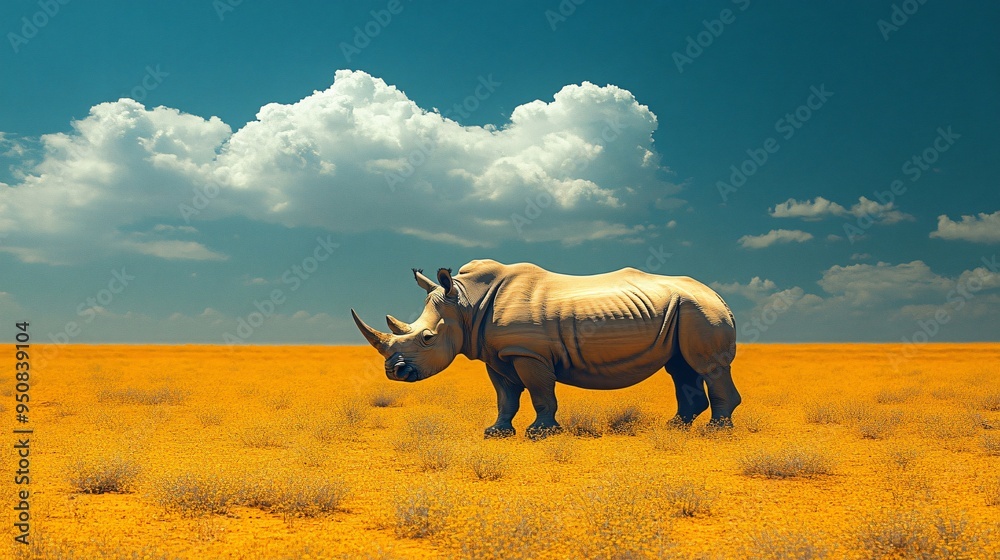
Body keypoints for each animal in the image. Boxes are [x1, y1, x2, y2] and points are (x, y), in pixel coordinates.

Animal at [351, 259, 741, 439]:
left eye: (427, 338)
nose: (394, 372)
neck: (466, 304)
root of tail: (719, 295)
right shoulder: (498, 354)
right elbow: (505, 396)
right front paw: (496, 433)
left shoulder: (528, 352)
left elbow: (540, 392)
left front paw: (540, 433)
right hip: (685, 309)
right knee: (680, 368)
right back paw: (675, 427)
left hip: (699, 309)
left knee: (707, 367)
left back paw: (716, 431)